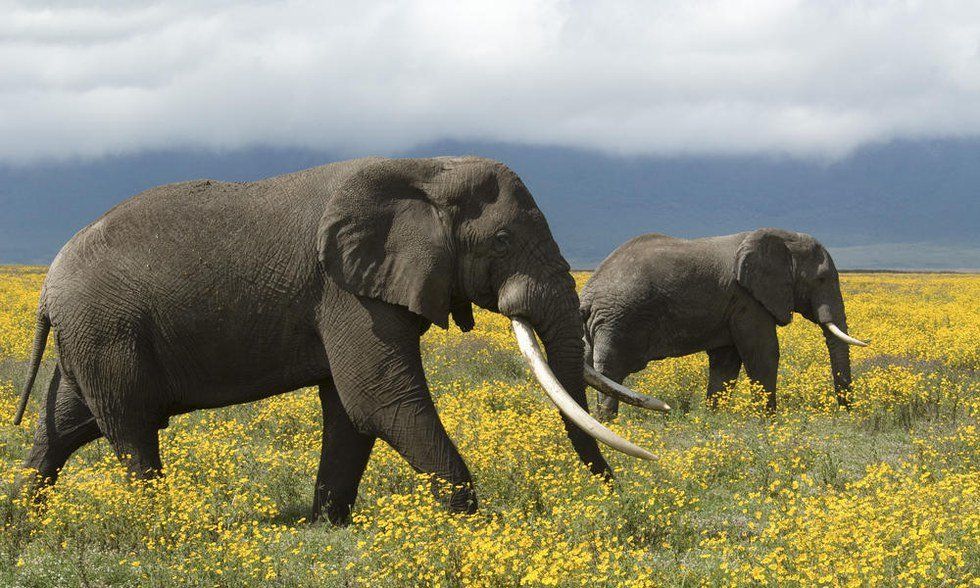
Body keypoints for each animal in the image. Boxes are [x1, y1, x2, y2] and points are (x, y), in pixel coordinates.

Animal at [12, 156, 659, 525]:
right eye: (501, 240)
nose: (611, 494)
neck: (425, 170)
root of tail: (47, 286)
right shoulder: (345, 290)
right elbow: (380, 400)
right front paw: (466, 525)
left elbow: (350, 411)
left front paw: (327, 526)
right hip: (106, 329)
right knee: (130, 427)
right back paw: (158, 525)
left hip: (93, 334)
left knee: (66, 424)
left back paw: (24, 518)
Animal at [580, 228, 868, 418]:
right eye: (821, 279)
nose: (846, 414)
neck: (780, 238)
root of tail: (588, 294)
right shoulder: (748, 300)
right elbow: (763, 354)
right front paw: (768, 421)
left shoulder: (732, 306)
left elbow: (726, 361)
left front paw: (713, 418)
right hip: (618, 319)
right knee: (610, 370)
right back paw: (608, 422)